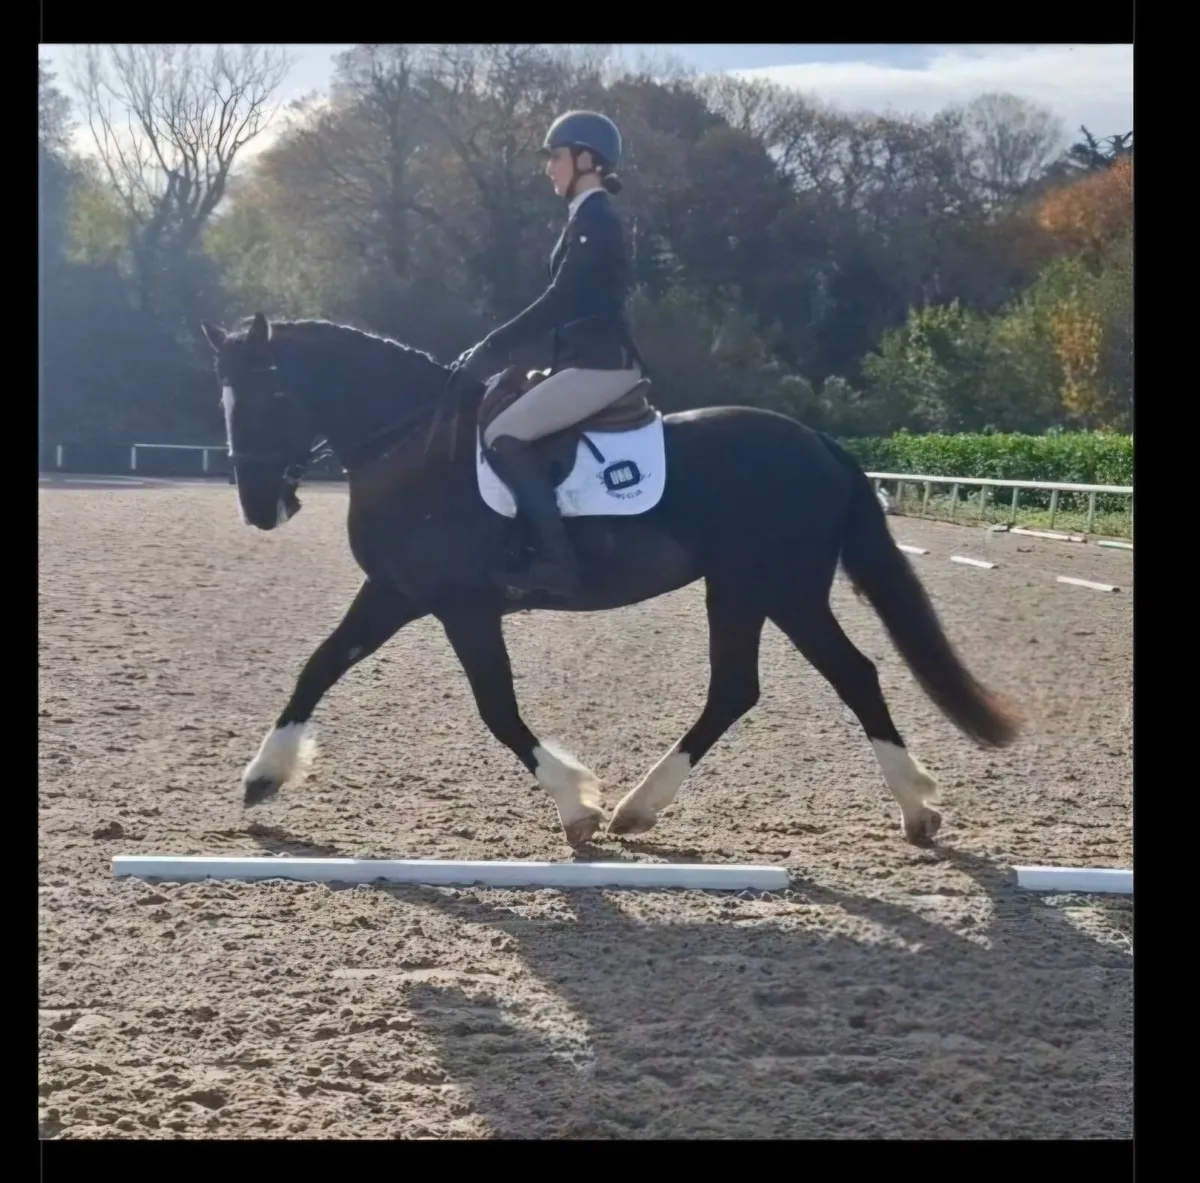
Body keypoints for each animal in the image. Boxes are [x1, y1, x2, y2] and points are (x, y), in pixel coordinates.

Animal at [199, 311, 1019, 848]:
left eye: (272, 396)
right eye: (224, 398)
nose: (260, 506)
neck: (411, 447)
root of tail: (818, 441)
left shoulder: (462, 606)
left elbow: (498, 708)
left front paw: (575, 805)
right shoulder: (397, 592)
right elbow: (318, 666)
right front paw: (264, 777)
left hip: (779, 587)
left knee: (849, 675)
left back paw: (913, 810)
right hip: (744, 590)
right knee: (740, 688)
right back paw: (643, 808)